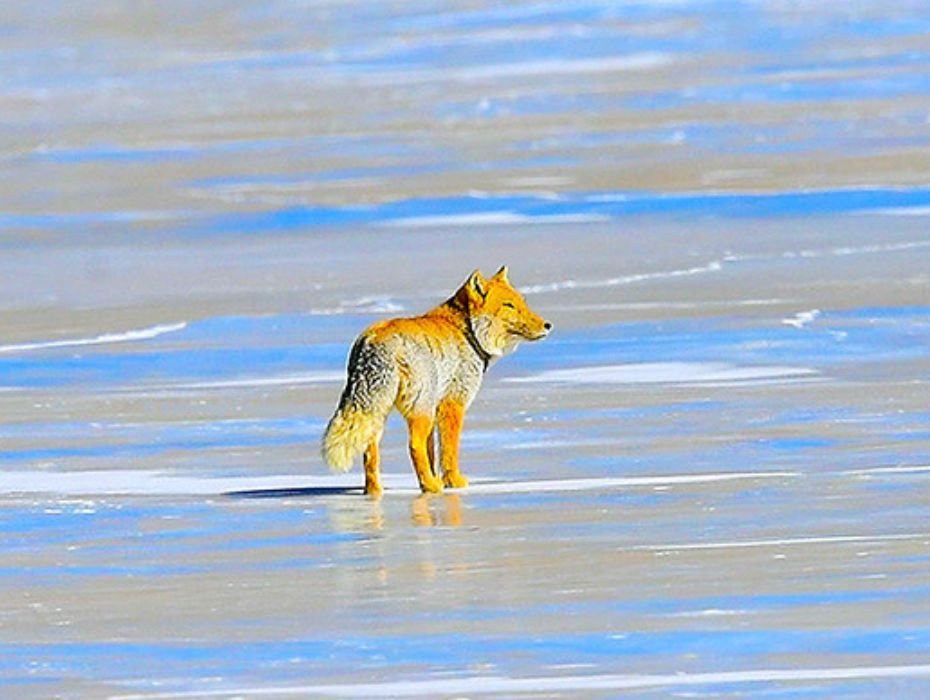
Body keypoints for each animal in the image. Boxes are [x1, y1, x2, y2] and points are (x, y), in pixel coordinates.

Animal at [322, 266, 551, 496]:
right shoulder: (452, 404)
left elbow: (431, 453)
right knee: (413, 445)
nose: (547, 325)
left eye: (522, 302)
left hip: (383, 412)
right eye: (509, 305)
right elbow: (449, 451)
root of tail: (373, 342)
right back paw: (430, 487)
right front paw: (453, 482)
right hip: (418, 410)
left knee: (370, 451)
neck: (467, 332)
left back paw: (376, 491)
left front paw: (436, 479)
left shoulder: (435, 408)